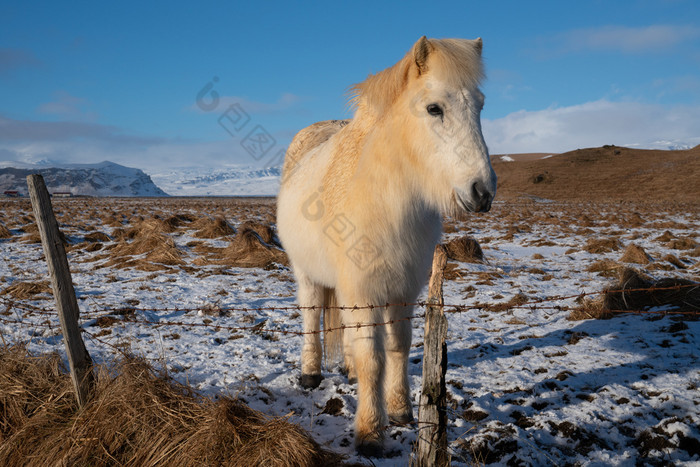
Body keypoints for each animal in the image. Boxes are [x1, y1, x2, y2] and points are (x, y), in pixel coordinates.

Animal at [276, 35, 494, 458]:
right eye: (434, 108)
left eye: (479, 105)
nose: (482, 191)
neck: (387, 199)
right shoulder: (363, 289)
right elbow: (373, 359)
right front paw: (370, 432)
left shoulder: (402, 289)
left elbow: (397, 347)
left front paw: (400, 411)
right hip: (307, 274)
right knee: (311, 314)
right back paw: (310, 373)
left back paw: (346, 369)